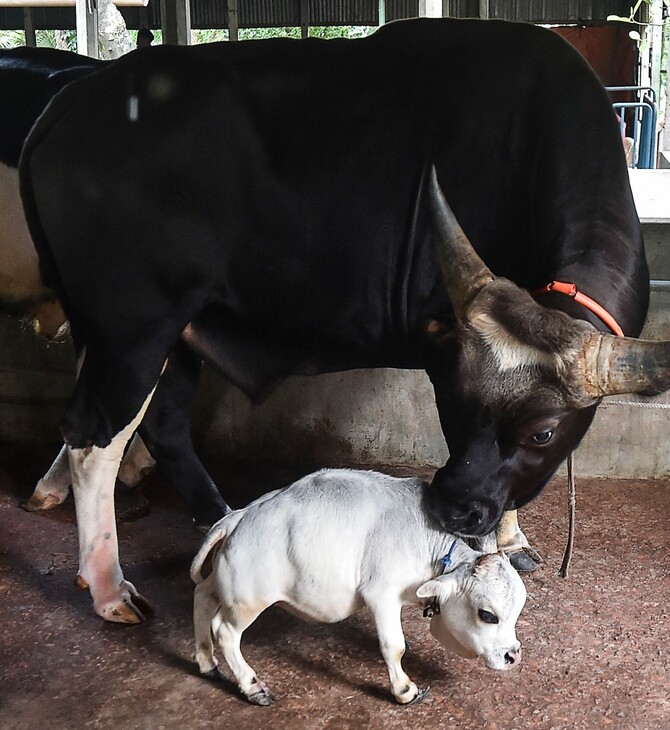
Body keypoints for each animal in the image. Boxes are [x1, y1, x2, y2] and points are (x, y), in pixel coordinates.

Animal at [15, 18, 670, 620]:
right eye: (453, 403)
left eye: (542, 433)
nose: (451, 508)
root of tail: (74, 96)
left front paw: (511, 537)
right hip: (132, 332)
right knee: (94, 438)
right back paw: (108, 586)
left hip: (176, 332)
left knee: (162, 425)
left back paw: (217, 518)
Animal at [192, 470, 528, 704]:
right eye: (488, 615)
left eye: (516, 613)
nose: (513, 656)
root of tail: (237, 517)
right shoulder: (381, 593)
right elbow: (394, 646)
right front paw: (404, 690)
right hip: (248, 599)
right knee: (225, 631)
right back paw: (252, 687)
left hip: (223, 583)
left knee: (202, 597)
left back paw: (207, 662)